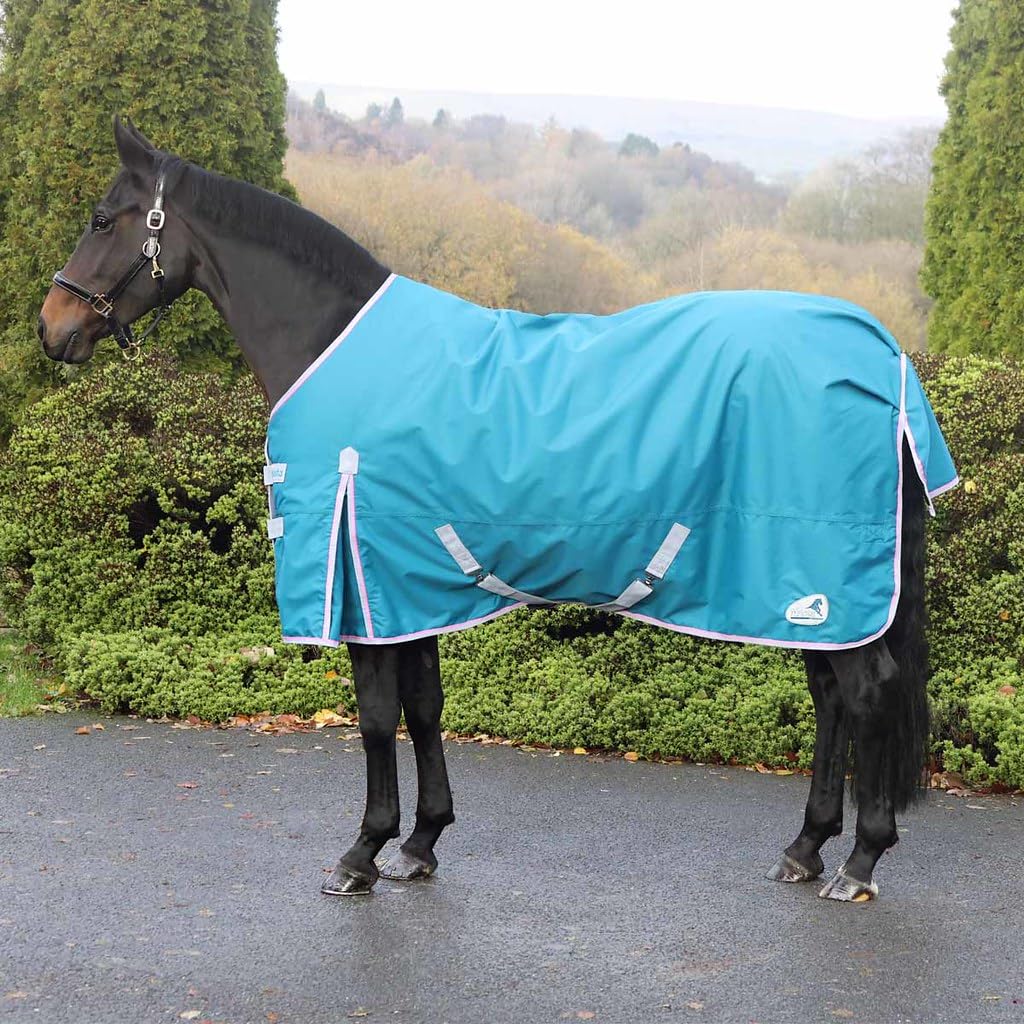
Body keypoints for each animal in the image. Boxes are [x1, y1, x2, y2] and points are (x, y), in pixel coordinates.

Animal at [38, 116, 945, 903]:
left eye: (104, 218)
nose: (53, 327)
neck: (336, 343)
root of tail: (880, 357)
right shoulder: (405, 583)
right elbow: (423, 706)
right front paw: (420, 842)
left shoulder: (362, 572)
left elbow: (376, 718)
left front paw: (362, 853)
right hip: (806, 594)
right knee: (830, 697)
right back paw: (805, 847)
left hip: (816, 574)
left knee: (865, 694)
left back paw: (859, 861)